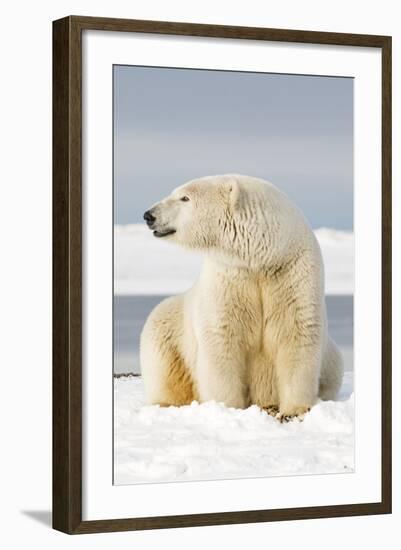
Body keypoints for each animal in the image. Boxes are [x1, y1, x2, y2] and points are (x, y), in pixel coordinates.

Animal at [139, 175, 342, 420]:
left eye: (184, 197)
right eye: (176, 193)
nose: (149, 215)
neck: (263, 258)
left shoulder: (292, 273)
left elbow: (296, 332)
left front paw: (295, 409)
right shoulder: (230, 276)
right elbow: (222, 338)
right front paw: (228, 408)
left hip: (332, 359)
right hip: (169, 326)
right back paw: (167, 403)